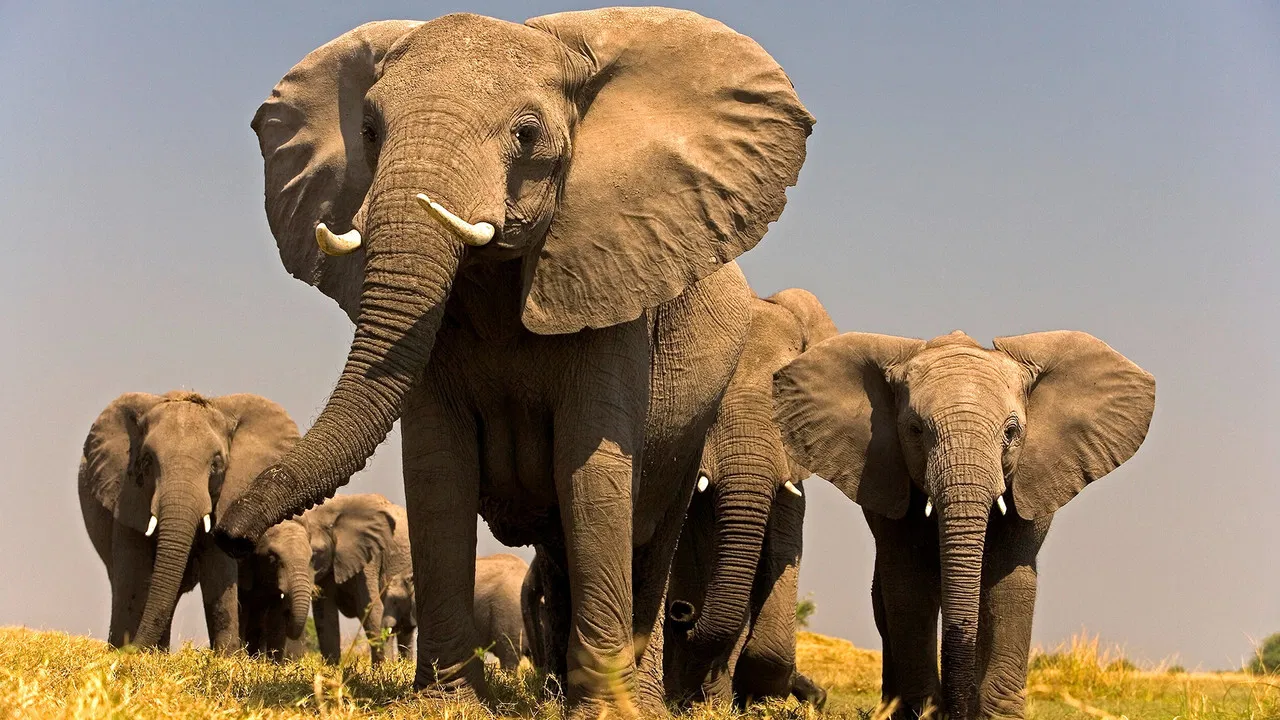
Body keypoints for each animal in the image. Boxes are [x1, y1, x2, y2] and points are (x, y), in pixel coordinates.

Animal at [77, 391, 298, 652]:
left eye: (216, 464)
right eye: (147, 461)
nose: (132, 647)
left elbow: (218, 570)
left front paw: (225, 657)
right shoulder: (127, 495)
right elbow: (133, 574)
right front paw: (123, 653)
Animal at [773, 330, 1155, 719]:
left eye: (1011, 432)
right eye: (914, 430)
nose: (955, 710)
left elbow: (1008, 581)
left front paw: (998, 717)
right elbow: (909, 587)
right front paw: (925, 712)